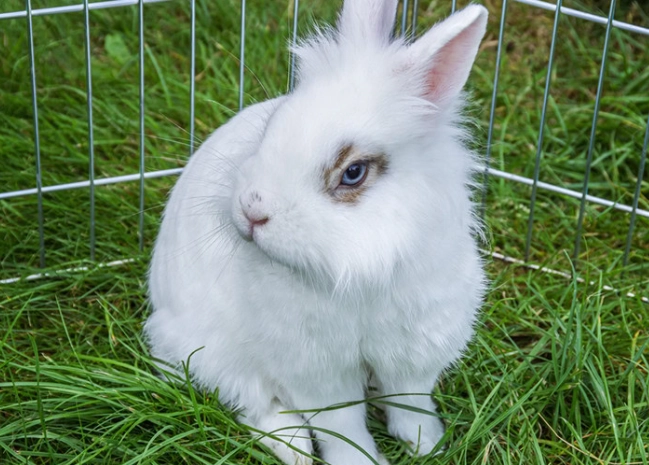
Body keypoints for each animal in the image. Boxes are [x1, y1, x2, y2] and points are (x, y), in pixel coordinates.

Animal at [145, 1, 488, 464]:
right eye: (274, 124)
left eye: (353, 172)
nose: (252, 210)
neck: (363, 268)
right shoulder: (316, 370)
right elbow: (341, 425)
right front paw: (361, 460)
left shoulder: (415, 349)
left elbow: (409, 401)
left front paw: (427, 444)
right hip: (211, 355)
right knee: (257, 406)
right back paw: (294, 449)